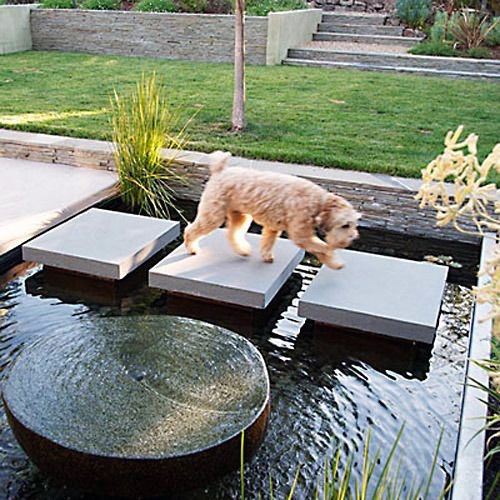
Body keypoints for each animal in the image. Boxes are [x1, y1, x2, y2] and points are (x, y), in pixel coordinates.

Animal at [184, 152, 360, 269]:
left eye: (354, 224)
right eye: (345, 225)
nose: (353, 238)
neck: (318, 203)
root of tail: (220, 170)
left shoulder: (273, 227)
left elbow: (267, 243)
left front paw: (266, 256)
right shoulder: (301, 236)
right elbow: (323, 248)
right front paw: (336, 262)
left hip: (240, 216)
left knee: (232, 234)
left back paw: (242, 250)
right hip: (213, 216)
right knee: (190, 230)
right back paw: (192, 248)